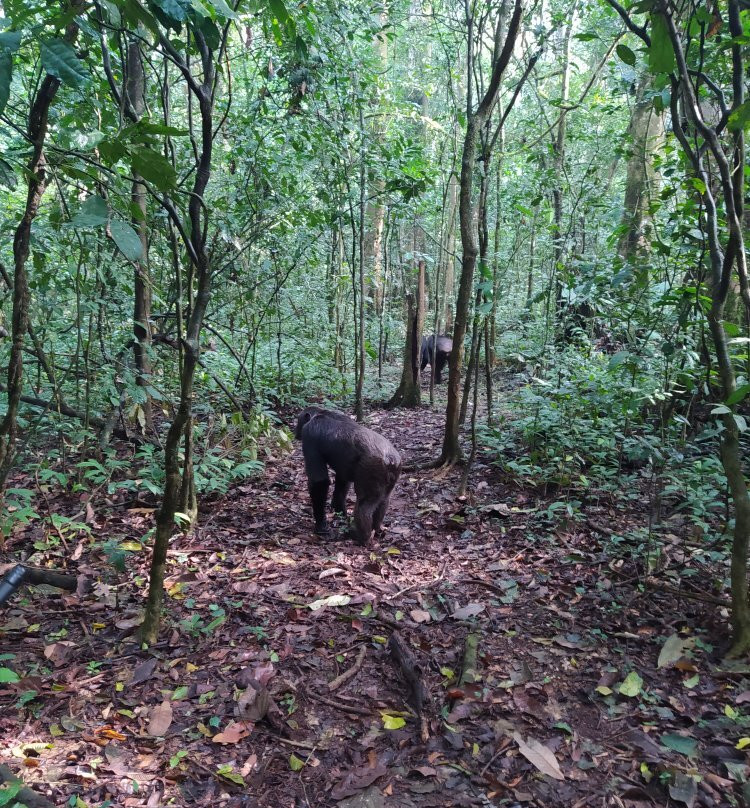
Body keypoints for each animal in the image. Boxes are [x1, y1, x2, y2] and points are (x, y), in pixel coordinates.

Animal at [296, 408, 406, 548]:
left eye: (299, 420)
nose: (296, 431)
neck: (320, 414)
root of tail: (389, 458)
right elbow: (342, 478)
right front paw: (339, 512)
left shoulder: (309, 435)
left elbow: (319, 481)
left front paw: (321, 526)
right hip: (395, 470)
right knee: (384, 500)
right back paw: (377, 529)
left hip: (371, 468)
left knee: (364, 504)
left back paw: (360, 535)